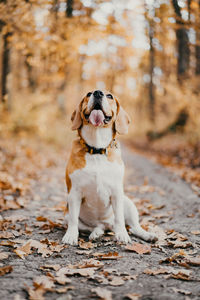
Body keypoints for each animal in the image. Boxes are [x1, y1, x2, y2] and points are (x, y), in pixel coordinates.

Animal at [61, 90, 157, 245]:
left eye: (110, 96)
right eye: (88, 94)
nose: (97, 93)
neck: (97, 149)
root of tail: (107, 224)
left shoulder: (117, 192)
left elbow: (120, 219)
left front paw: (122, 234)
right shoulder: (74, 193)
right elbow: (74, 221)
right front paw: (70, 236)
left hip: (128, 203)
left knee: (133, 226)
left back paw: (147, 235)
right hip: (67, 214)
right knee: (95, 226)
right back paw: (96, 233)